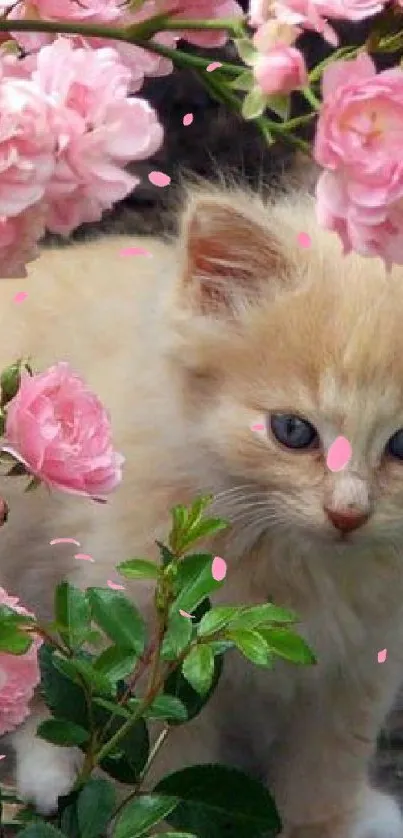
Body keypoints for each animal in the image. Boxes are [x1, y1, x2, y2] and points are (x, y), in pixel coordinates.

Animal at [0, 187, 403, 836]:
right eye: (293, 431)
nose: (349, 514)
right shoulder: (154, 639)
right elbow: (160, 765)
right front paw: (164, 824)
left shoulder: (363, 660)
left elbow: (329, 757)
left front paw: (326, 823)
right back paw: (53, 774)